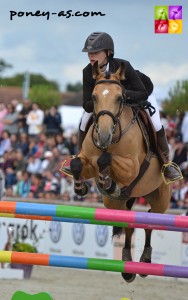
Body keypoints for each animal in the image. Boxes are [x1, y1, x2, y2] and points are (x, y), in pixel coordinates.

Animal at [69, 60, 172, 282]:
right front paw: (83, 187)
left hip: (160, 198)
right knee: (128, 223)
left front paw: (106, 179)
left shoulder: (131, 167)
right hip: (114, 204)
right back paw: (127, 266)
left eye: (119, 98)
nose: (103, 136)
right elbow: (78, 164)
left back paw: (144, 262)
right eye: (94, 97)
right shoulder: (87, 161)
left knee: (150, 220)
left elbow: (105, 159)